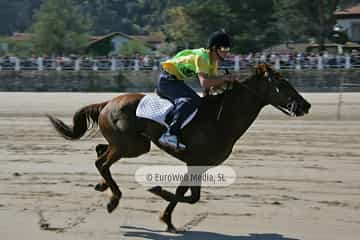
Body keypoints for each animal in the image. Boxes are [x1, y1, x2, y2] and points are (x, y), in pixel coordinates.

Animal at [47, 63, 312, 232]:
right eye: (282, 83)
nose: (305, 105)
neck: (220, 119)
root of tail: (108, 102)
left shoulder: (200, 166)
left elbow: (190, 196)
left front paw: (167, 216)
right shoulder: (194, 162)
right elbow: (185, 195)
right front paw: (158, 195)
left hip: (133, 144)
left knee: (101, 151)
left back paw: (103, 186)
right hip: (130, 145)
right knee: (101, 161)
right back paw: (114, 199)